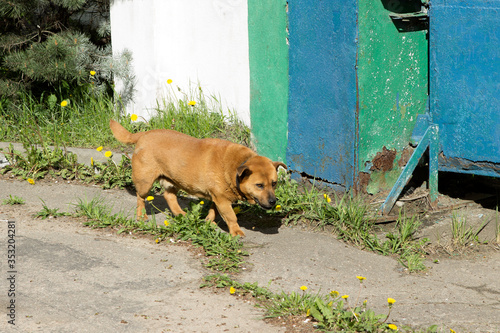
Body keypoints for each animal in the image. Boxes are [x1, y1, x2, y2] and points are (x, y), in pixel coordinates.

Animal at [111, 119, 288, 236]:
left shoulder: (218, 197)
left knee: (169, 196)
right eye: (259, 185)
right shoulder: (222, 200)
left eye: (274, 183)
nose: (273, 201)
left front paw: (209, 222)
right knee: (140, 198)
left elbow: (213, 211)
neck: (236, 167)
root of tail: (144, 134)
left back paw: (180, 214)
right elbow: (231, 216)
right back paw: (142, 216)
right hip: (145, 182)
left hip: (172, 181)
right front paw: (236, 231)